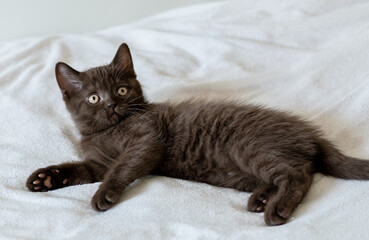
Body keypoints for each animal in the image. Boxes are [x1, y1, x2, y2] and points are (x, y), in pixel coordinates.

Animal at [27, 43, 368, 225]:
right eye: (94, 98)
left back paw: (276, 209)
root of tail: (309, 132)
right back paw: (261, 199)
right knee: (292, 171)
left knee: (299, 174)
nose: (112, 104)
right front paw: (45, 178)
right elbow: (79, 169)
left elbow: (122, 167)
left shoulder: (146, 140)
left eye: (121, 90)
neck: (108, 130)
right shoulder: (98, 162)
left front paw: (104, 194)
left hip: (250, 147)